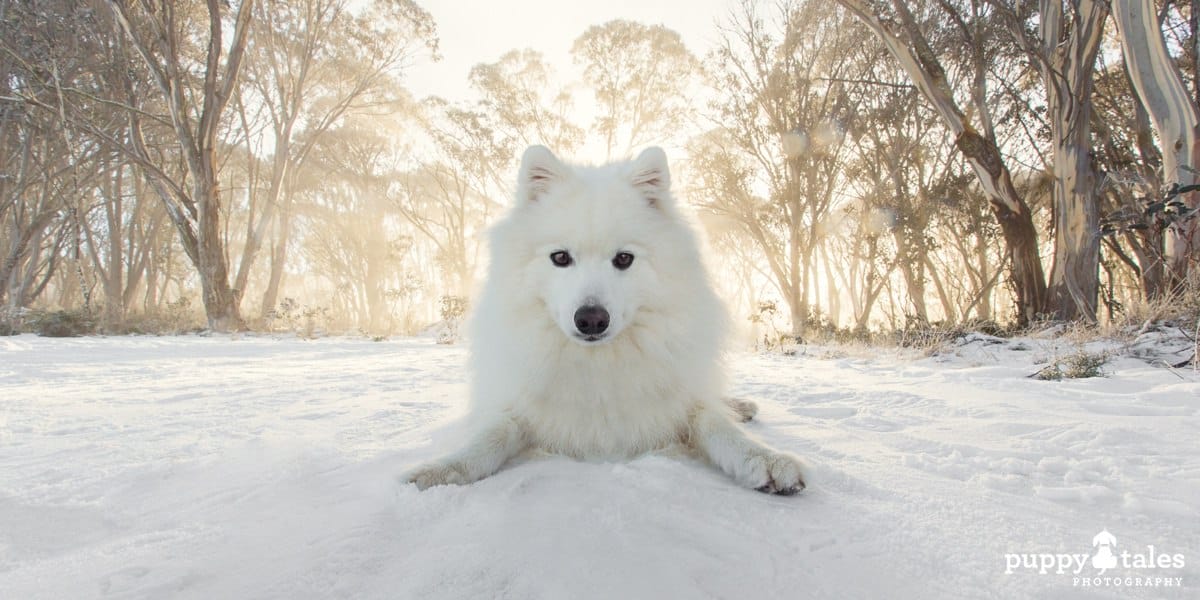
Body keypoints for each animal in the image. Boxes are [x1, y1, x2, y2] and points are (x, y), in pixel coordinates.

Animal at [403, 145, 806, 492]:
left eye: (624, 258)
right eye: (561, 257)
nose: (592, 319)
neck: (598, 365)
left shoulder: (677, 401)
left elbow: (714, 422)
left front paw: (765, 458)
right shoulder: (519, 404)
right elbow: (492, 434)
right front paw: (441, 469)